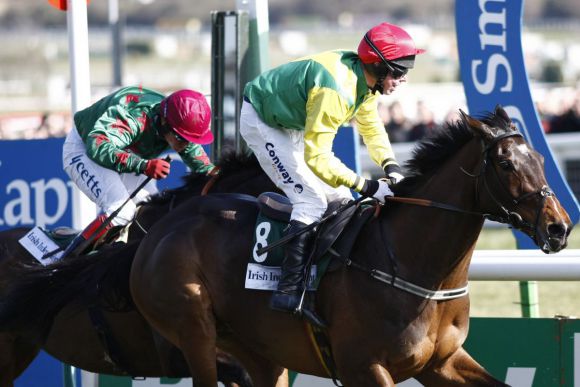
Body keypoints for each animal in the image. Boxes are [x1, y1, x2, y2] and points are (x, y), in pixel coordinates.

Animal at [128, 106, 572, 387]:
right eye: (506, 164)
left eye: (540, 159)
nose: (559, 228)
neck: (413, 266)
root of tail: (157, 228)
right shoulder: (364, 367)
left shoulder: (442, 362)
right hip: (194, 330)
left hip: (258, 349)